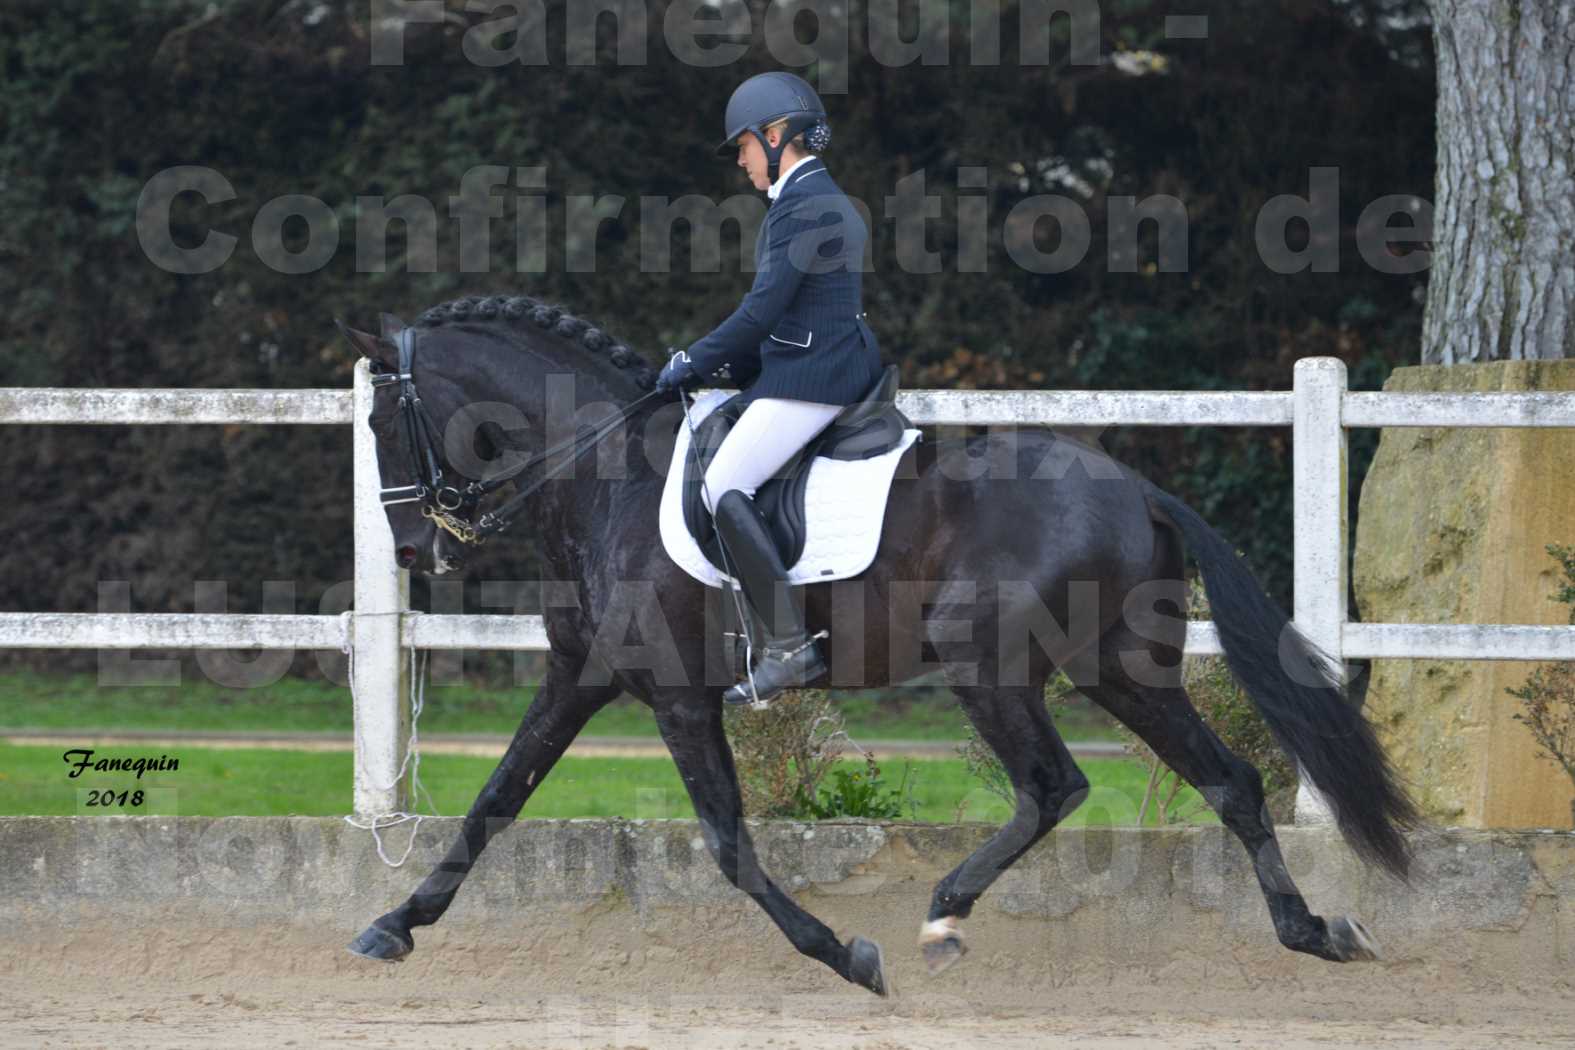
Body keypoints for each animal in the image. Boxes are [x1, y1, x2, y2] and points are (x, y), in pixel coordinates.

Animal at [338, 294, 1423, 994]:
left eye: (385, 415)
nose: (412, 548)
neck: (603, 474)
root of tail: (1137, 488)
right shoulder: (582, 676)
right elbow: (492, 803)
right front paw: (392, 926)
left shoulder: (678, 699)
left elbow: (729, 845)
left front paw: (845, 956)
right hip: (1119, 667)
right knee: (1228, 780)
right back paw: (1315, 932)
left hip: (994, 668)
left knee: (1054, 786)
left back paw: (945, 912)